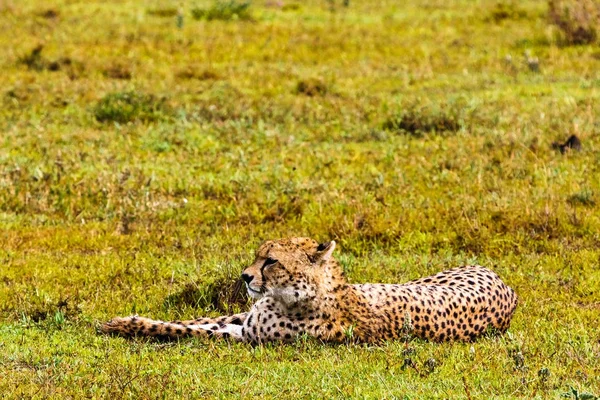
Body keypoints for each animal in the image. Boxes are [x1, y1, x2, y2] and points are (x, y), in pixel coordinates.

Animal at [101, 238, 516, 344]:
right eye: (258, 255)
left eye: (270, 261)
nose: (245, 277)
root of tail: (506, 285)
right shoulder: (243, 315)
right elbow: (196, 318)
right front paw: (123, 318)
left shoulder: (247, 335)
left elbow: (181, 329)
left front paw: (121, 325)